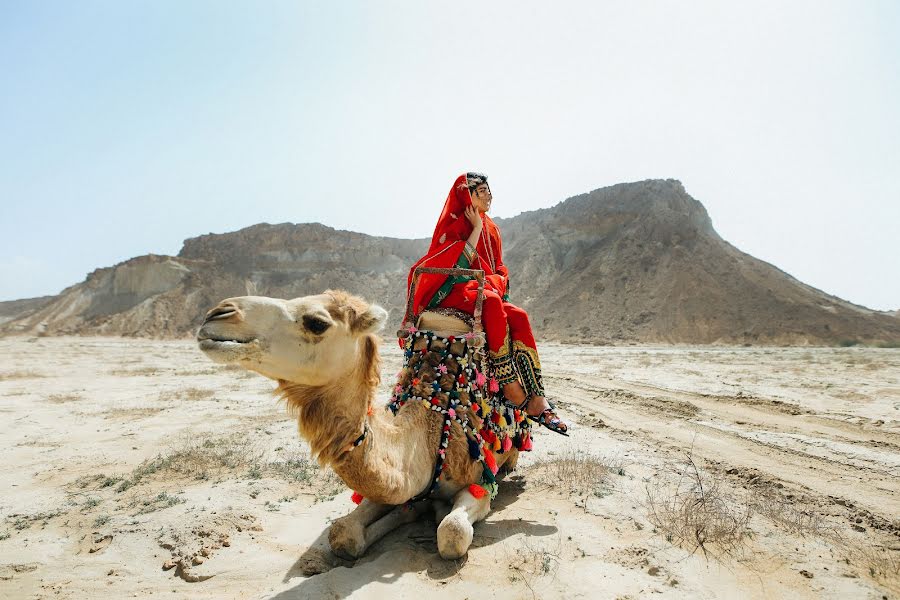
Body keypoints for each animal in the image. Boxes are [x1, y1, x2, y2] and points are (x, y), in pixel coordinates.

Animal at [197, 288, 520, 560]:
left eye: (317, 323)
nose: (218, 313)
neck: (429, 432)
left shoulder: (478, 482)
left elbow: (452, 531)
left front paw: (435, 513)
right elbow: (343, 533)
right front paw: (408, 512)